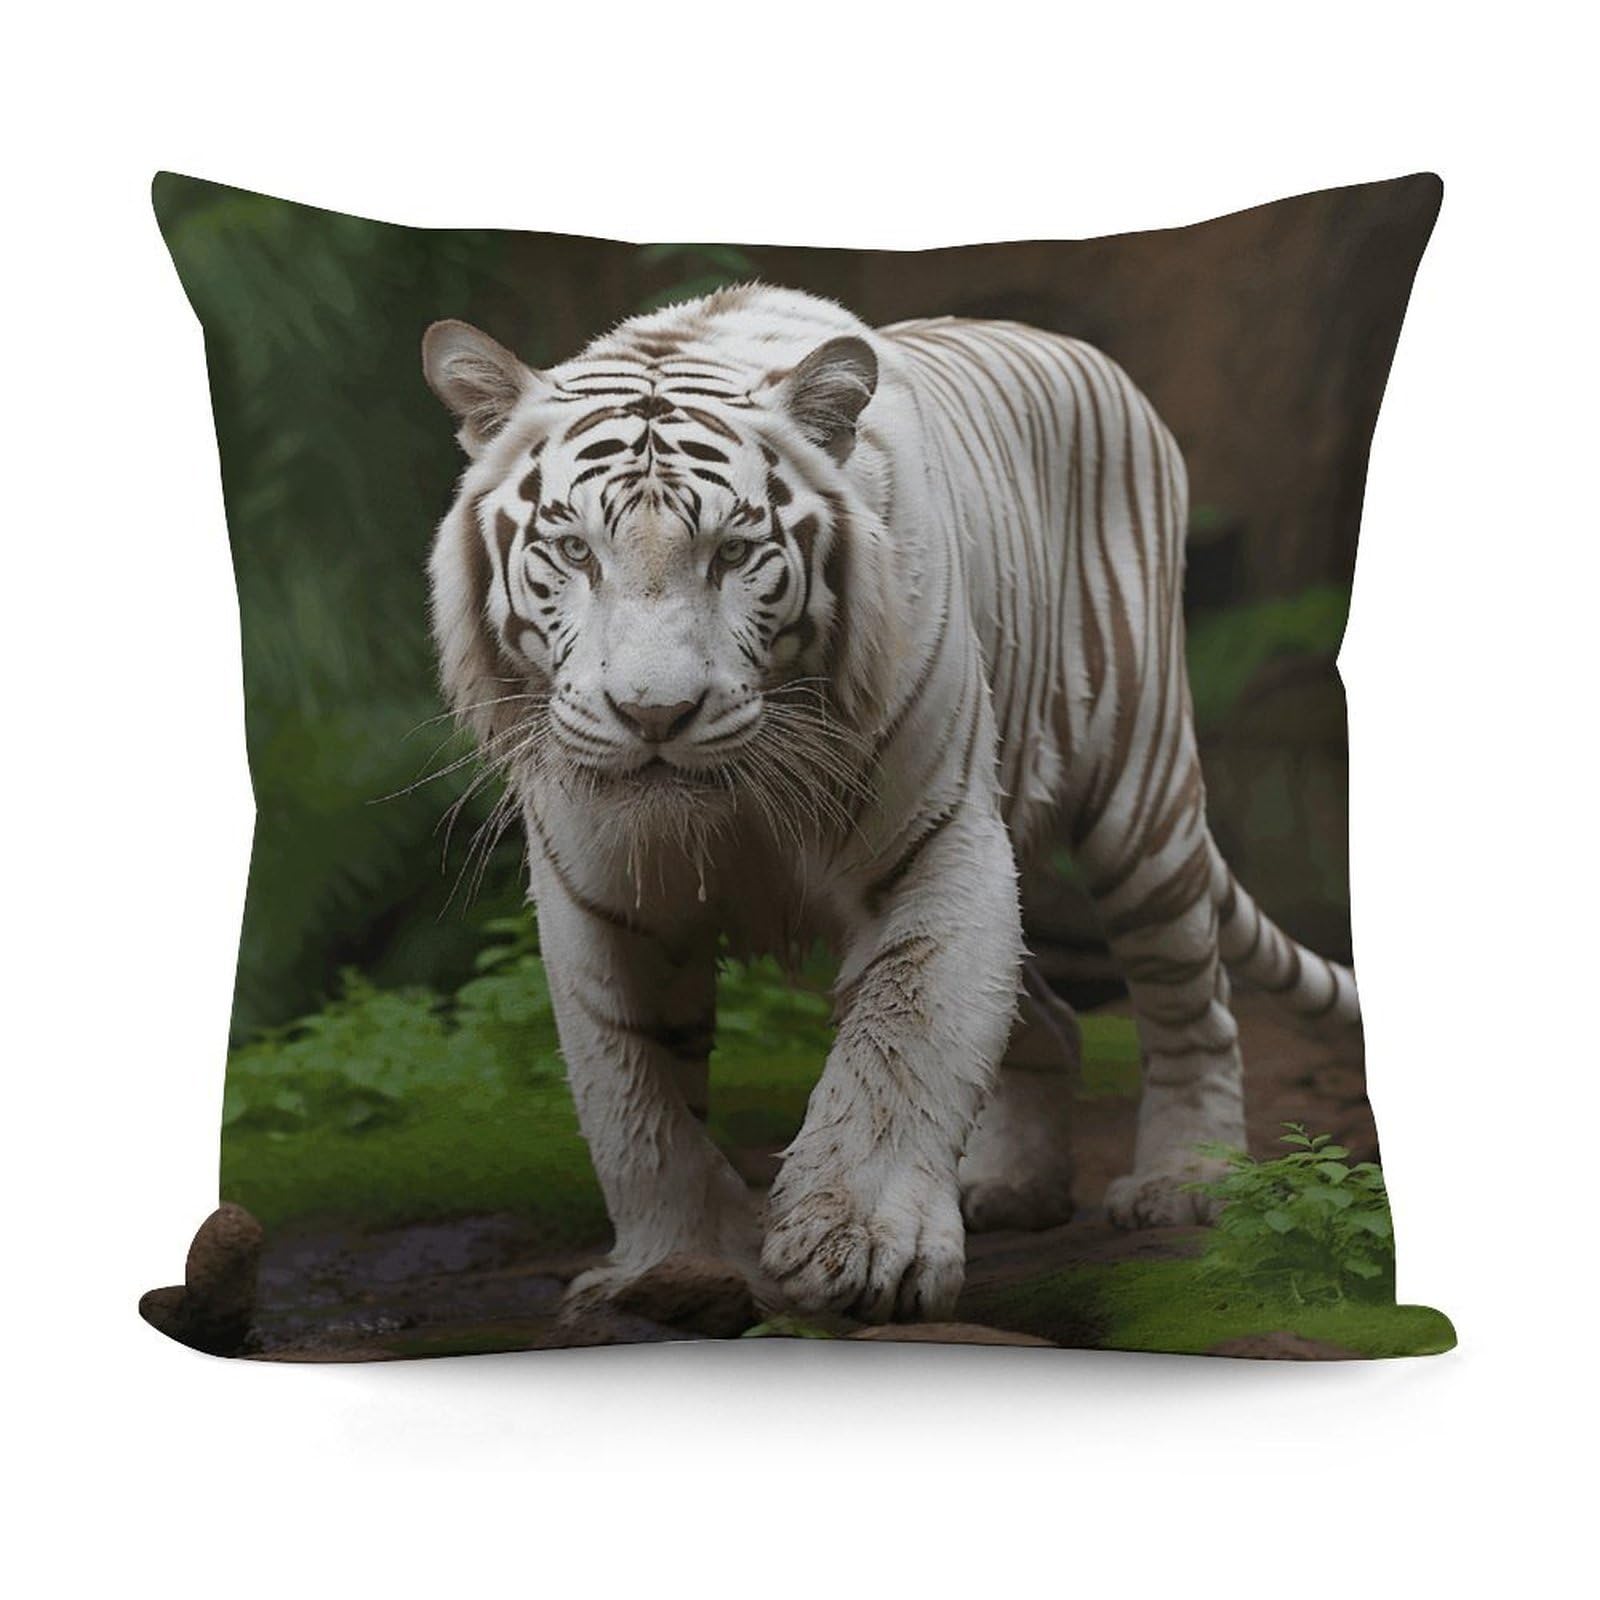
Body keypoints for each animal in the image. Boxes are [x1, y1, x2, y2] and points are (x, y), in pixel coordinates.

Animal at [422, 283, 1360, 1325]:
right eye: (574, 550)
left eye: (733, 552)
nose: (655, 713)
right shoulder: (598, 897)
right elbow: (634, 1100)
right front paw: (672, 1267)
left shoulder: (941, 841)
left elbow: (905, 1043)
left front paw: (867, 1250)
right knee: (1051, 1016)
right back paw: (1012, 1186)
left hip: (1139, 792)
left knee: (1191, 998)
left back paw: (1187, 1181)